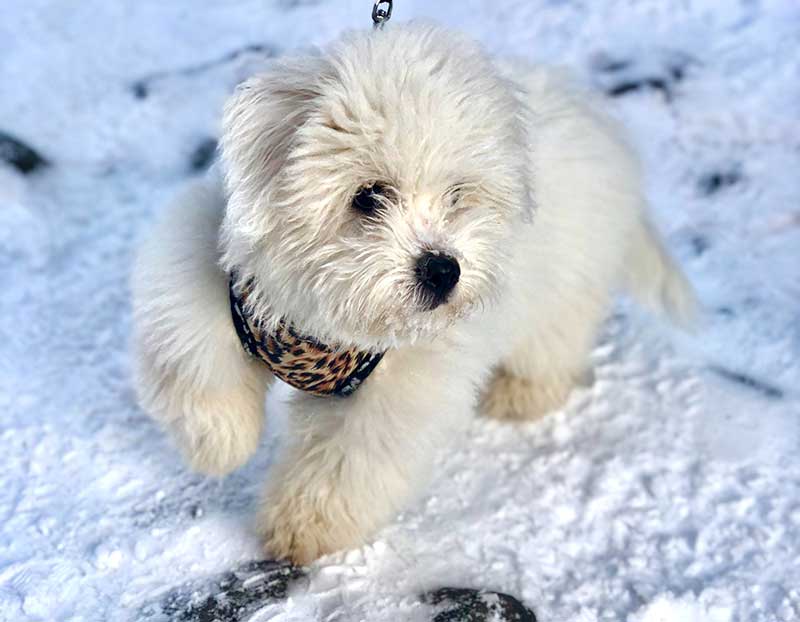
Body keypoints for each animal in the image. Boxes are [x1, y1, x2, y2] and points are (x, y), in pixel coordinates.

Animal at [131, 24, 692, 564]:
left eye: (457, 194)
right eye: (369, 196)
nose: (443, 270)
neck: (325, 317)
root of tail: (598, 120)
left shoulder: (396, 393)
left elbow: (346, 461)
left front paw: (301, 528)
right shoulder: (205, 272)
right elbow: (195, 361)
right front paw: (221, 442)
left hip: (565, 282)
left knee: (552, 345)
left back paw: (520, 393)